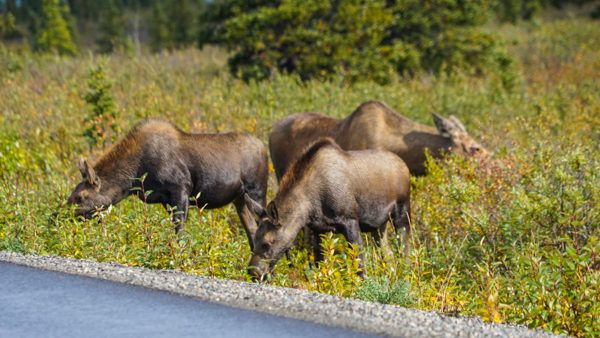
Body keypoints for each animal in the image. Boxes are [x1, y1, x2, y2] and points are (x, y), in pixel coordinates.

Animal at [66, 119, 270, 251]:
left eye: (81, 196)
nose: (65, 216)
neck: (133, 177)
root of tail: (264, 148)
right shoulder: (165, 199)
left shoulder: (181, 188)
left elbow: (180, 230)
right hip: (239, 199)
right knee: (252, 231)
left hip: (256, 191)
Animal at [243, 137, 408, 280]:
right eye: (254, 239)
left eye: (267, 243)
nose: (253, 272)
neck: (309, 207)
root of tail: (403, 165)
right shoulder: (319, 229)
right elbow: (319, 264)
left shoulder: (350, 220)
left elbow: (359, 262)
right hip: (380, 226)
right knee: (389, 254)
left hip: (403, 210)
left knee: (404, 249)